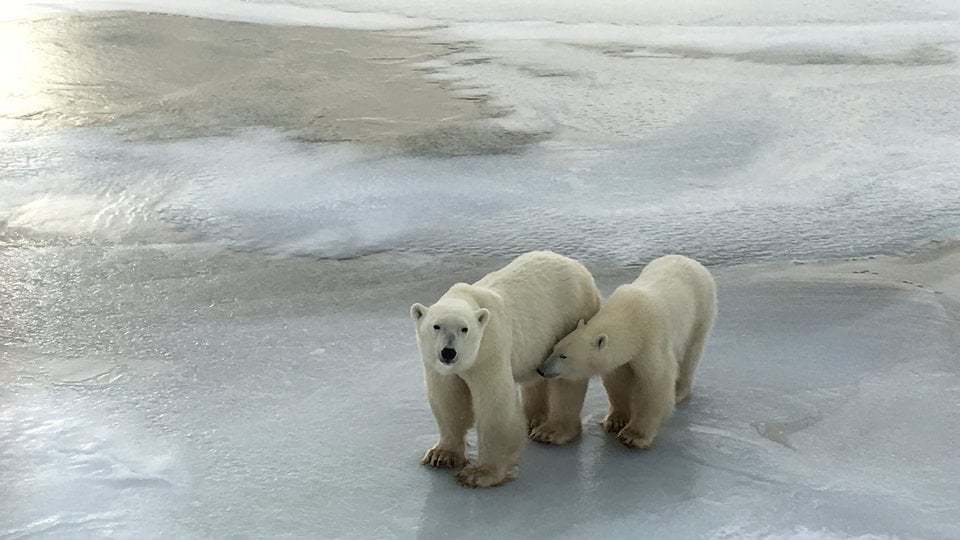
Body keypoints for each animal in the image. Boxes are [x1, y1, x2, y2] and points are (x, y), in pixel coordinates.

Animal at [410, 250, 601, 487]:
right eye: (436, 326)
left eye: (465, 329)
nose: (448, 352)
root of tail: (578, 266)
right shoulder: (437, 367)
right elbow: (447, 400)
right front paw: (441, 455)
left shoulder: (489, 350)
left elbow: (495, 406)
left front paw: (480, 473)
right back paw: (534, 418)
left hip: (571, 316)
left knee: (566, 380)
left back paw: (550, 431)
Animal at [537, 254, 716, 450]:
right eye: (554, 348)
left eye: (564, 356)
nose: (541, 369)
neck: (630, 319)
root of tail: (690, 260)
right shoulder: (621, 357)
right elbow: (618, 380)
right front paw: (616, 420)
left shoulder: (651, 341)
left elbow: (655, 382)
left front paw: (633, 436)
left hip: (701, 311)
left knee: (691, 353)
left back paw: (680, 391)